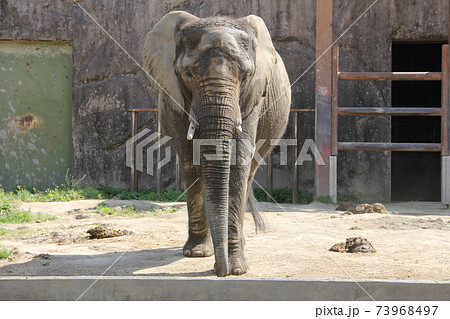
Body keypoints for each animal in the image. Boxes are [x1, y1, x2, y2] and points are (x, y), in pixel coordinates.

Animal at [144, 11, 292, 276]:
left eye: (245, 75)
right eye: (188, 74)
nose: (220, 271)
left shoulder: (252, 97)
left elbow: (237, 167)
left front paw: (237, 269)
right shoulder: (175, 99)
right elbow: (192, 163)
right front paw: (197, 255)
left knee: (248, 174)